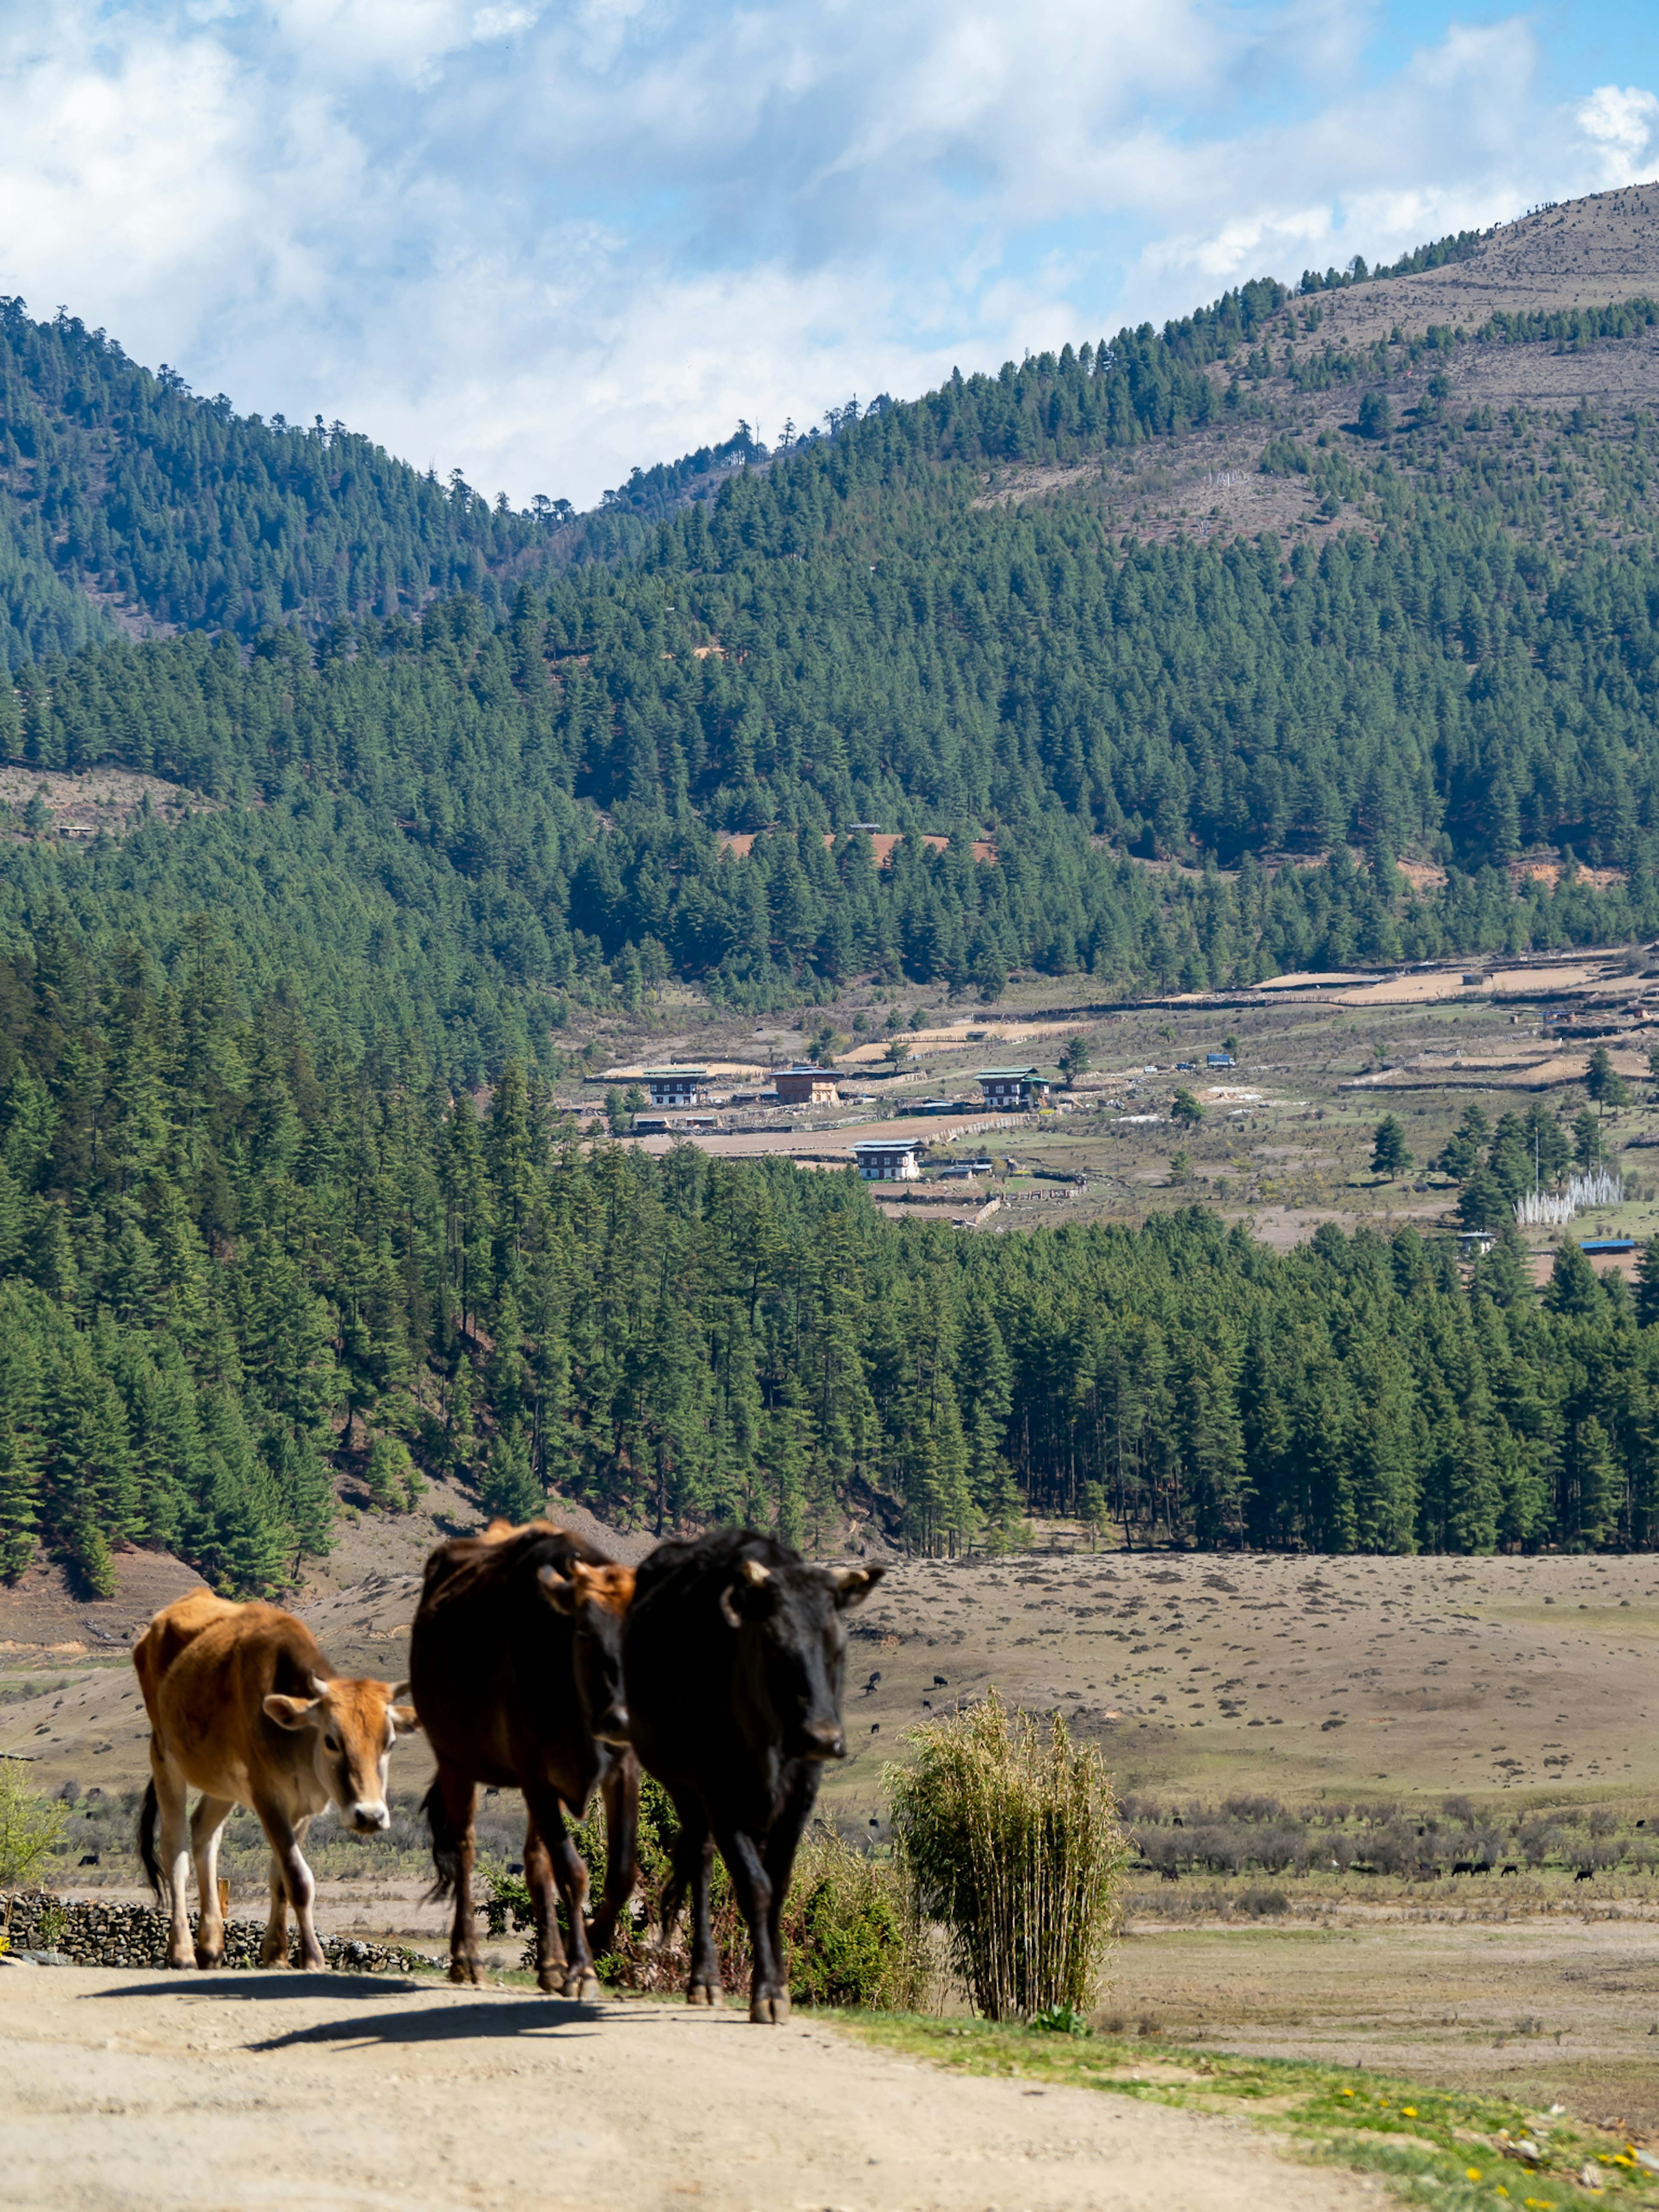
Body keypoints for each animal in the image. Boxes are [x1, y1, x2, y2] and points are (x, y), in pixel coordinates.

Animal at [137, 1592, 422, 1973]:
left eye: (389, 1743)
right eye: (331, 1741)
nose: (370, 1816)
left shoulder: (304, 1808)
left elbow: (281, 1877)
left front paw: (276, 1953)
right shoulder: (267, 1797)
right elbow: (299, 1879)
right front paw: (313, 1957)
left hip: (222, 1784)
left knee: (204, 1835)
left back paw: (211, 1948)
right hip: (165, 1759)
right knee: (175, 1852)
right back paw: (182, 1951)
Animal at [413, 1513, 641, 1999]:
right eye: (584, 1632)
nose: (622, 1719)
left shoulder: (621, 1768)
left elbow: (620, 1873)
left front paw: (591, 1941)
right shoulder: (533, 1768)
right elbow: (573, 1871)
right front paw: (583, 1969)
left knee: (536, 1860)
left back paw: (551, 1964)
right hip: (455, 1761)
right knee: (465, 1850)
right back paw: (467, 1959)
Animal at [623, 1539, 885, 2026]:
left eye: (838, 1645)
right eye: (773, 1645)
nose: (823, 1737)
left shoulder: (799, 1800)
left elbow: (777, 1887)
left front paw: (777, 1984)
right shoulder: (721, 1799)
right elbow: (755, 1888)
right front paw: (765, 1993)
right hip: (686, 1791)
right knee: (702, 1865)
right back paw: (704, 1980)